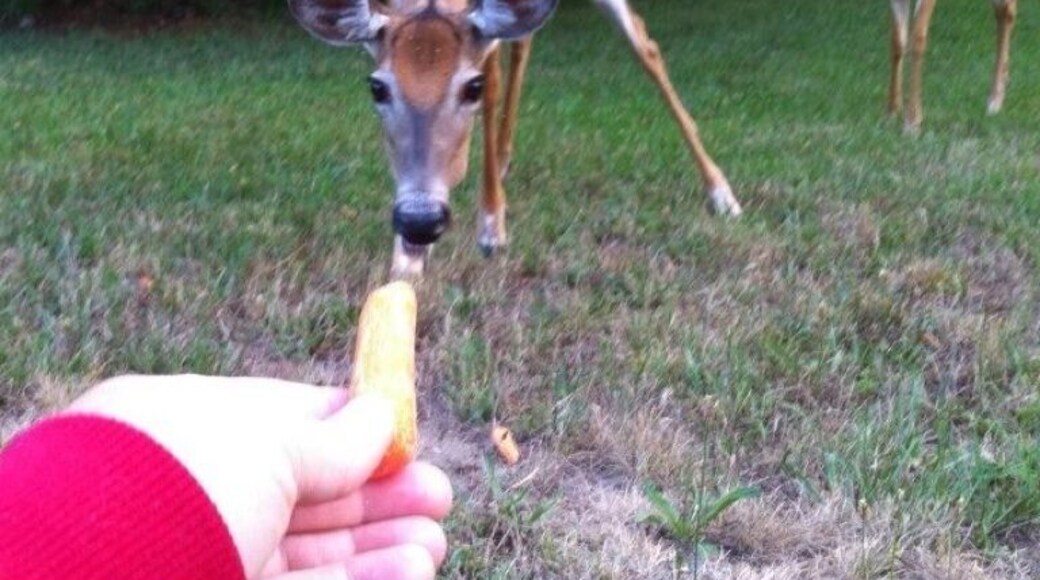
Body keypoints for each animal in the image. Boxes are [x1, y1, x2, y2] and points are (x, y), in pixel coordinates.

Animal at [288, 0, 743, 276]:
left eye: (469, 87)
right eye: (377, 87)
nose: (420, 219)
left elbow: (491, 76)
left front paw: (491, 226)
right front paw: (407, 256)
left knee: (645, 45)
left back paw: (722, 193)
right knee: (524, 39)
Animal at [889, 0, 1018, 132]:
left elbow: (917, 39)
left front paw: (912, 122)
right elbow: (897, 41)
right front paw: (892, 111)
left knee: (1006, 10)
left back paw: (995, 100)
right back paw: (1004, 80)